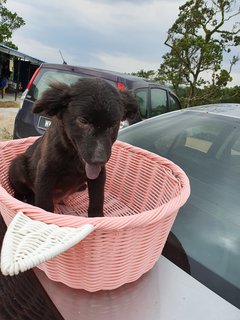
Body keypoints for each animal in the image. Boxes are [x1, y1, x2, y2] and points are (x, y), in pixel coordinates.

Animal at [8, 78, 138, 218]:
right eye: (83, 121)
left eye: (113, 125)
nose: (99, 160)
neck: (73, 157)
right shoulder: (45, 171)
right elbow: (45, 204)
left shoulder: (99, 174)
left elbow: (97, 198)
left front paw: (97, 216)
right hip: (17, 164)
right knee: (21, 190)